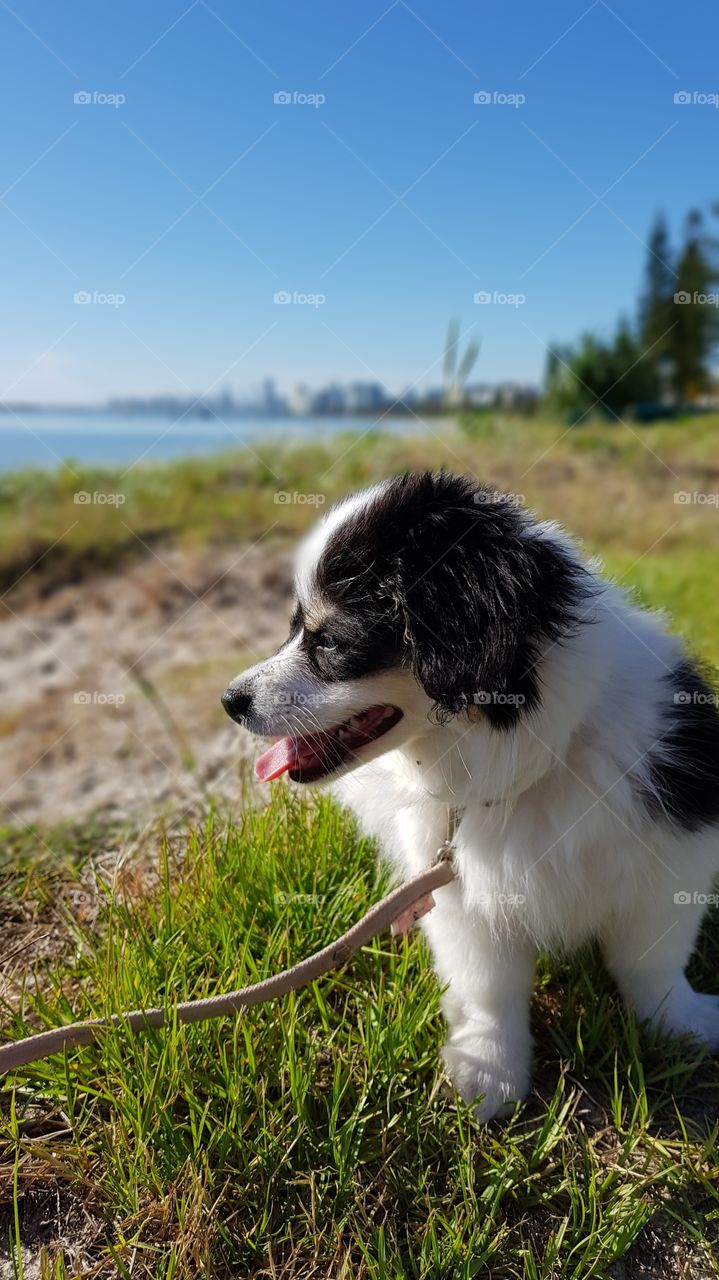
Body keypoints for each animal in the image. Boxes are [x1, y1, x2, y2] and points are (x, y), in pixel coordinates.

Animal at [221, 471, 716, 1121]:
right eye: (293, 628)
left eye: (331, 642)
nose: (230, 700)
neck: (527, 764)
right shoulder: (460, 894)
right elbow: (489, 987)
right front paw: (491, 1072)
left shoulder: (669, 860)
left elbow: (651, 961)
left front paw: (680, 1026)